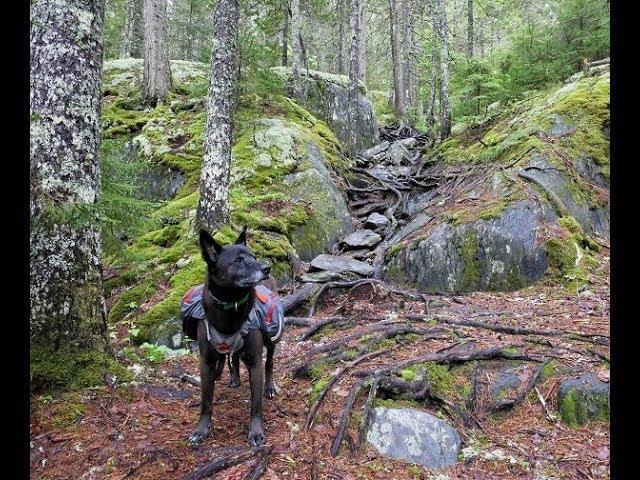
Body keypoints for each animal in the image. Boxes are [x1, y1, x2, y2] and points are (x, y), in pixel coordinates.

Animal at [190, 228, 280, 446]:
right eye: (239, 260)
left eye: (253, 256)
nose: (267, 268)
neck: (231, 306)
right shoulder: (206, 362)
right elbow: (206, 401)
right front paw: (201, 429)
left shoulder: (255, 362)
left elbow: (256, 403)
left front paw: (256, 432)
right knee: (235, 356)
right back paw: (234, 377)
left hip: (271, 340)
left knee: (269, 362)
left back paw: (270, 387)